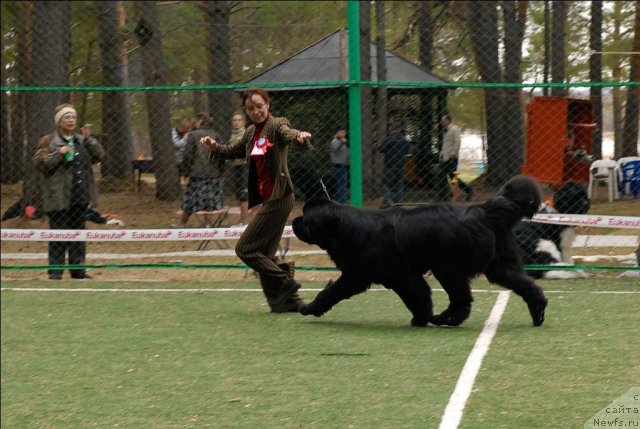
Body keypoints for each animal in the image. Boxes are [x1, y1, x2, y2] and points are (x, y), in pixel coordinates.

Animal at [292, 172, 548, 326]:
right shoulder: (362, 275)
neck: (345, 229)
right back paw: (538, 311)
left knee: (461, 298)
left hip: (448, 268)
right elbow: (332, 292)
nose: (294, 221)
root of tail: (483, 211)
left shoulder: (391, 276)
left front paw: (422, 318)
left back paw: (446, 318)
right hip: (499, 265)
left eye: (307, 220)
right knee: (526, 285)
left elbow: (417, 295)